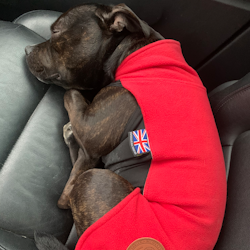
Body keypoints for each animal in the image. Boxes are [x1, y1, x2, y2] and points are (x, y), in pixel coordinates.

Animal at [25, 2, 164, 249]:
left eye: (56, 31)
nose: (27, 49)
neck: (128, 51)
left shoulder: (90, 130)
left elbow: (71, 92)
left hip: (91, 182)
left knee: (66, 195)